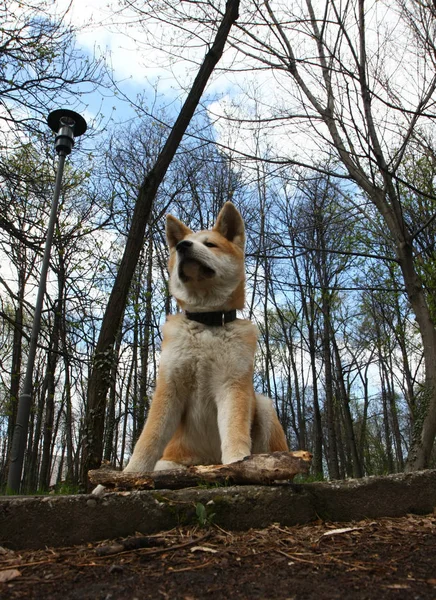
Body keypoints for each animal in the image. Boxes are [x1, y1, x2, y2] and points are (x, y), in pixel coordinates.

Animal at [122, 202, 288, 474]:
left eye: (210, 244)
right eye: (182, 244)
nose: (182, 246)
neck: (207, 322)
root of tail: (207, 462)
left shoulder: (232, 385)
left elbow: (234, 432)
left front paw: (238, 463)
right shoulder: (170, 385)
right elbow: (149, 437)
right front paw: (131, 474)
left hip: (264, 405)